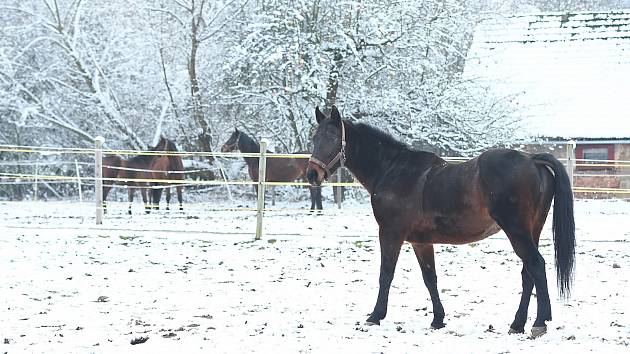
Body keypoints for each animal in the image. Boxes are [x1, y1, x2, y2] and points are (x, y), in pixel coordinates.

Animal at [306, 107, 576, 338]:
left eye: (332, 137)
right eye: (314, 138)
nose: (312, 174)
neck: (393, 171)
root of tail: (532, 160)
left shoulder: (390, 234)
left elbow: (386, 274)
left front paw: (375, 316)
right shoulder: (420, 242)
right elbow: (430, 278)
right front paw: (438, 319)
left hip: (517, 231)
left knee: (536, 265)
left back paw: (539, 323)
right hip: (532, 230)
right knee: (528, 272)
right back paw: (517, 324)